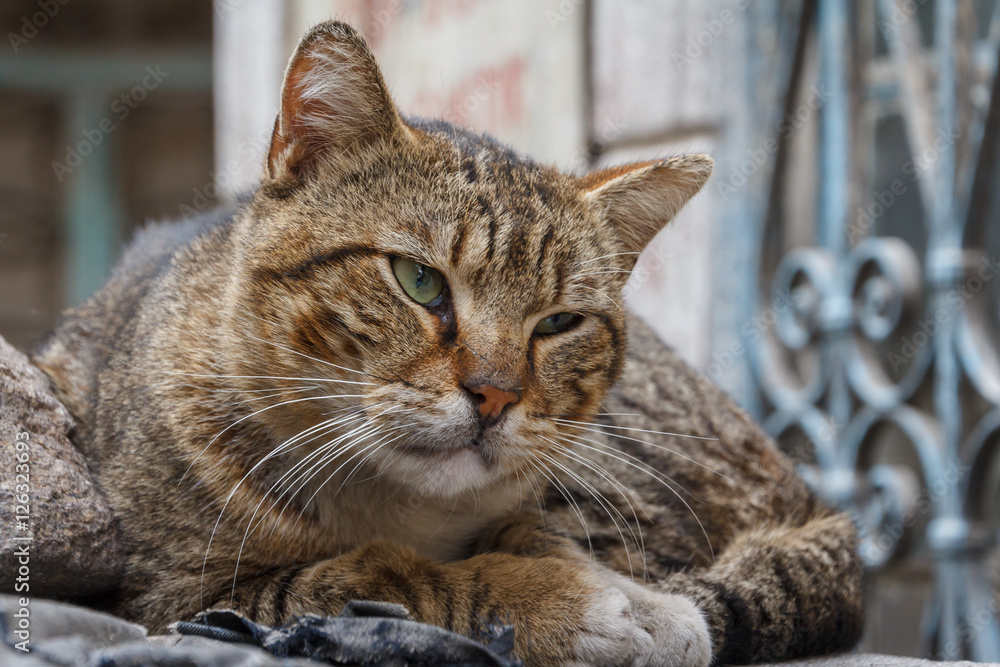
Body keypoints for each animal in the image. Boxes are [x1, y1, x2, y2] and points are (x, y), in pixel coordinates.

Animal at [31, 20, 860, 667]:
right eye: (419, 280)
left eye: (557, 322)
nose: (494, 394)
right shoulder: (174, 595)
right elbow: (380, 577)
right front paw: (561, 598)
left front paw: (600, 585)